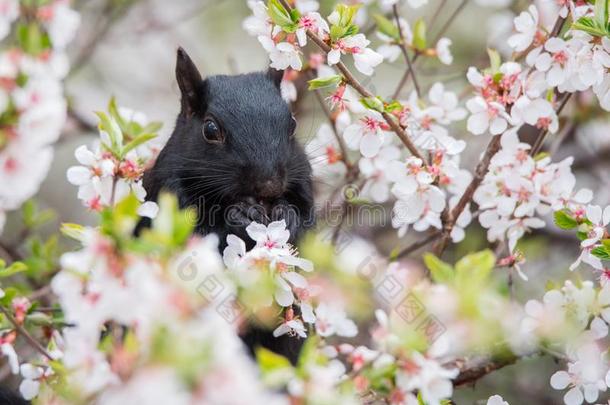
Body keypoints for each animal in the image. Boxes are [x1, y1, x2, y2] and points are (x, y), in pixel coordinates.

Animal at [141, 48, 314, 362]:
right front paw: (240, 216)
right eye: (210, 129)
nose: (269, 185)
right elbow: (202, 233)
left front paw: (288, 215)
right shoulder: (168, 193)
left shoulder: (302, 176)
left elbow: (308, 219)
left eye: (293, 124)